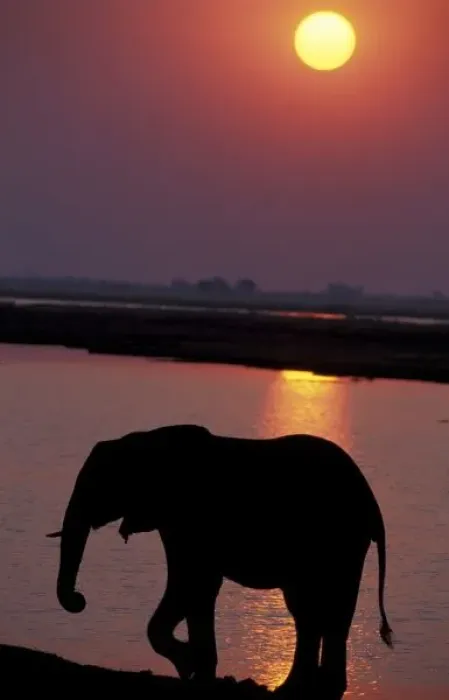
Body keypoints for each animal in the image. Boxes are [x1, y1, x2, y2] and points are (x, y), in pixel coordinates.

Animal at [47, 424, 393, 699]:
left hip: (342, 539)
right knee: (307, 611)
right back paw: (298, 689)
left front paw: (189, 666)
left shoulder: (190, 516)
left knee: (329, 608)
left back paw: (314, 690)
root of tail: (373, 502)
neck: (146, 439)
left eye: (97, 484)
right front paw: (198, 673)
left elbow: (192, 583)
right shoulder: (173, 521)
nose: (80, 599)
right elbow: (195, 587)